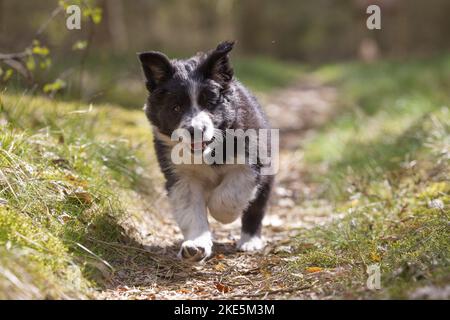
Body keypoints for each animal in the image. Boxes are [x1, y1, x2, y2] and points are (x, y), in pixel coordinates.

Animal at [138, 41, 274, 262]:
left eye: (210, 103)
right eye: (176, 107)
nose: (195, 130)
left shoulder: (250, 163)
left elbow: (228, 195)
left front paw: (222, 214)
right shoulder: (181, 178)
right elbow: (192, 212)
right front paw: (196, 246)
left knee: (256, 209)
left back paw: (249, 241)